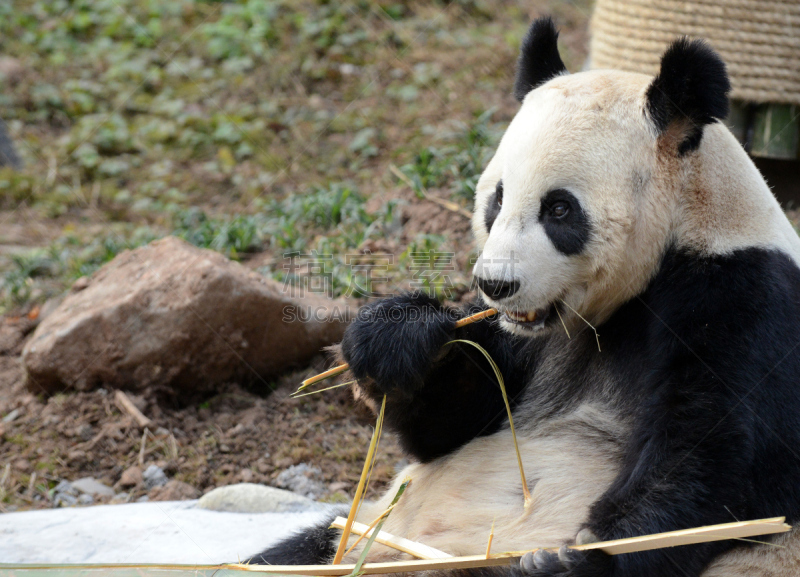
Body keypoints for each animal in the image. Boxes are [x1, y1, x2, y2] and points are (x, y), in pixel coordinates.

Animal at [252, 18, 800, 576]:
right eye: (497, 199)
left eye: (559, 209)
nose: (496, 284)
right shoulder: (518, 339)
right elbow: (453, 420)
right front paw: (397, 338)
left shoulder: (741, 297)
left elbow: (720, 458)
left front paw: (574, 559)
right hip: (362, 530)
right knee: (293, 552)